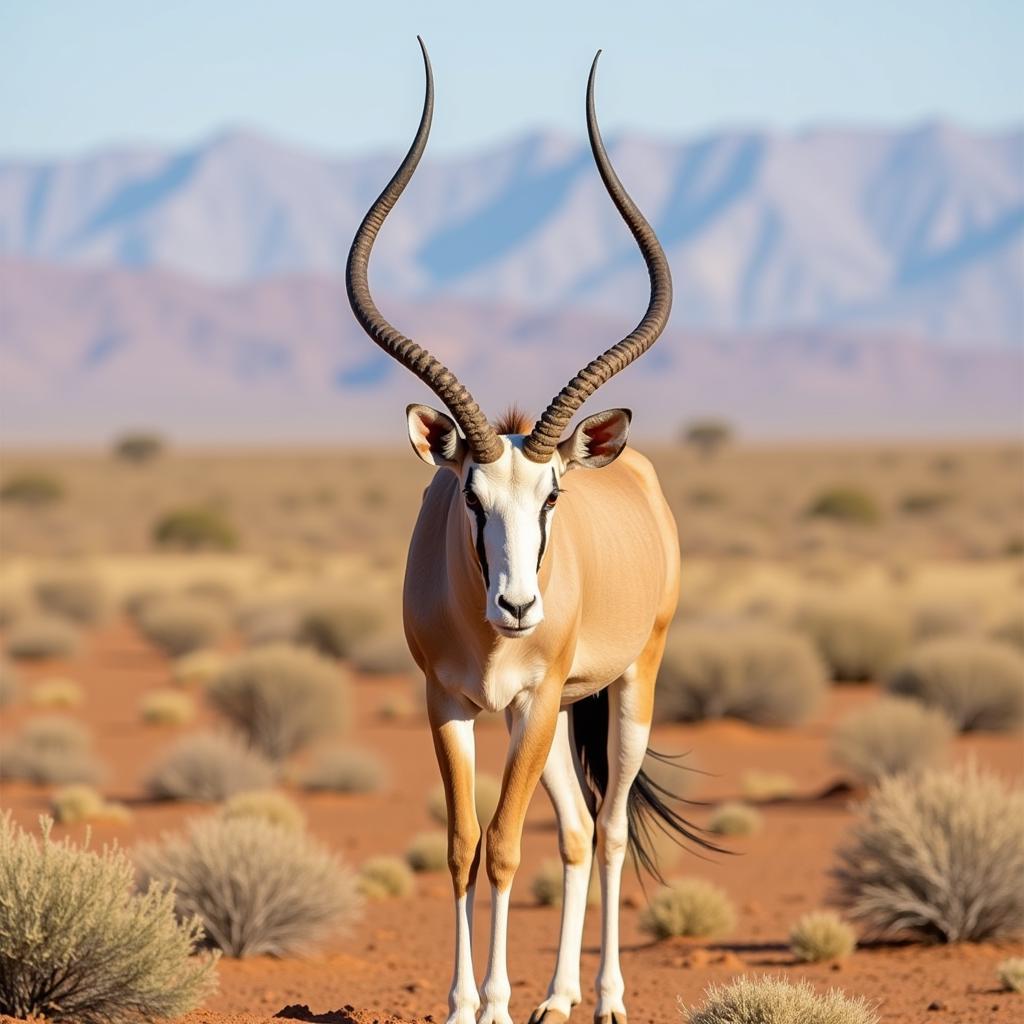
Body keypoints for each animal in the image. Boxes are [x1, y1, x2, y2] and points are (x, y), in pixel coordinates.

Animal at [348, 37, 708, 1024]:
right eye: (470, 497)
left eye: (550, 497)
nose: (517, 606)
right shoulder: (449, 702)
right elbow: (464, 843)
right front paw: (463, 1003)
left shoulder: (541, 699)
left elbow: (509, 845)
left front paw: (497, 1004)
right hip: (532, 718)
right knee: (578, 828)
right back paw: (559, 997)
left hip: (620, 687)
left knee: (609, 828)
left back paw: (604, 998)